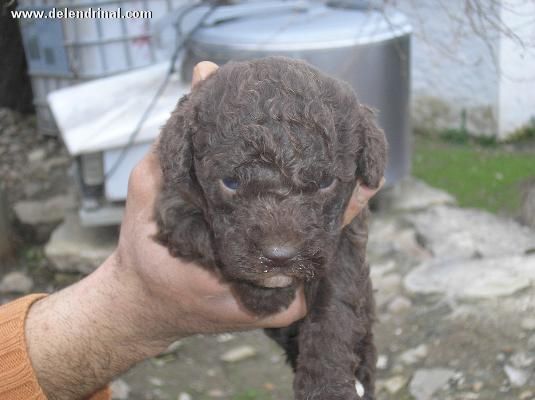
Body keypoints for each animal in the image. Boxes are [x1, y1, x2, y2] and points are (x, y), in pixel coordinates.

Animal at [157, 57, 388, 400]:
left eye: (325, 183)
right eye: (231, 183)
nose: (279, 257)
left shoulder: (344, 239)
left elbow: (335, 310)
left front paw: (327, 386)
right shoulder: (172, 208)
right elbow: (211, 244)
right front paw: (264, 296)